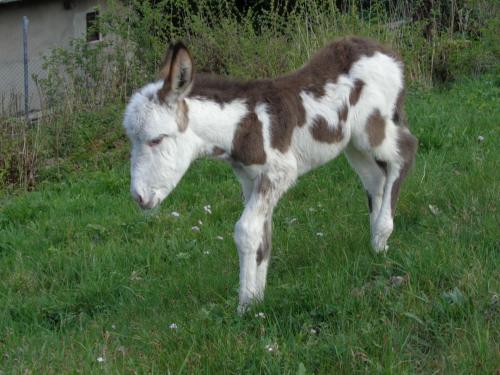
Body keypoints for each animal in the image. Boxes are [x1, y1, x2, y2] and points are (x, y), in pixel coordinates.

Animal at [124, 37, 418, 314]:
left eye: (156, 139)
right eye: (132, 140)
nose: (138, 198)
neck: (241, 127)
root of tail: (387, 53)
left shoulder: (279, 173)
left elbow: (245, 230)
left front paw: (244, 306)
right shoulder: (250, 180)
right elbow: (261, 236)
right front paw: (257, 301)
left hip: (374, 128)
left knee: (405, 151)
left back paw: (383, 231)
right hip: (353, 143)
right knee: (376, 178)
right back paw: (378, 246)